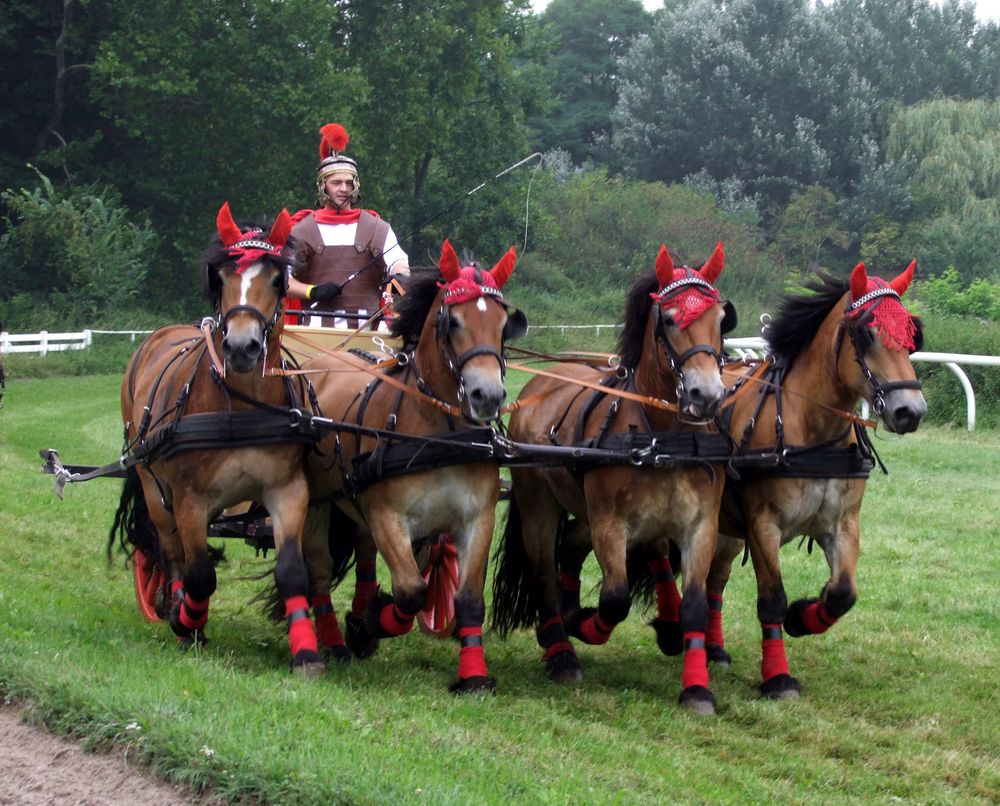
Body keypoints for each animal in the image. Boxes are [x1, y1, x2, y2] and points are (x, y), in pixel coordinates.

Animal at [110, 204, 322, 676]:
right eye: (221, 278)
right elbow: (199, 574)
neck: (241, 407)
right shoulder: (190, 499)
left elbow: (292, 571)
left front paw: (307, 653)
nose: (242, 347)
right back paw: (173, 605)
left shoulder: (288, 490)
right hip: (153, 484)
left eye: (277, 279)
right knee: (170, 550)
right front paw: (186, 622)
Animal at [300, 240, 528, 696]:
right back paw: (334, 642)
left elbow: (468, 599)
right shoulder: (388, 515)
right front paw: (371, 623)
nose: (488, 395)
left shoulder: (478, 518)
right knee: (318, 571)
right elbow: (411, 591)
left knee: (364, 556)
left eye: (501, 325)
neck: (440, 434)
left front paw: (474, 676)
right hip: (319, 502)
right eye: (453, 322)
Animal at [492, 243, 736, 716]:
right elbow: (615, 599)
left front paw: (697, 689)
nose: (707, 395)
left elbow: (696, 605)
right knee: (545, 567)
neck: (662, 435)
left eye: (720, 319)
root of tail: (536, 389)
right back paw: (561, 649)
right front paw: (583, 624)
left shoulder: (701, 524)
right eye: (671, 319)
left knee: (570, 544)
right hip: (538, 501)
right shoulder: (610, 523)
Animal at [708, 260, 924, 700]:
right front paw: (778, 677)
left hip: (727, 532)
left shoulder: (842, 525)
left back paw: (715, 649)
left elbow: (843, 594)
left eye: (912, 336)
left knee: (714, 583)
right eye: (867, 333)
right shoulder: (763, 526)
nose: (911, 411)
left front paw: (804, 615)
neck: (812, 429)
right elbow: (771, 599)